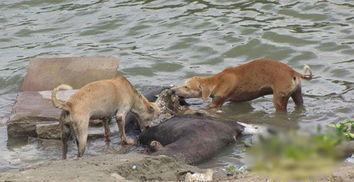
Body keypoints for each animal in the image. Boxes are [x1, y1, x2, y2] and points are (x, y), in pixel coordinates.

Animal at [171, 59, 312, 111]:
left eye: (186, 87)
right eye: (183, 84)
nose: (173, 90)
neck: (216, 81)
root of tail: (293, 72)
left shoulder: (217, 101)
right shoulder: (236, 100)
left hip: (279, 98)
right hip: (296, 93)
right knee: (299, 102)